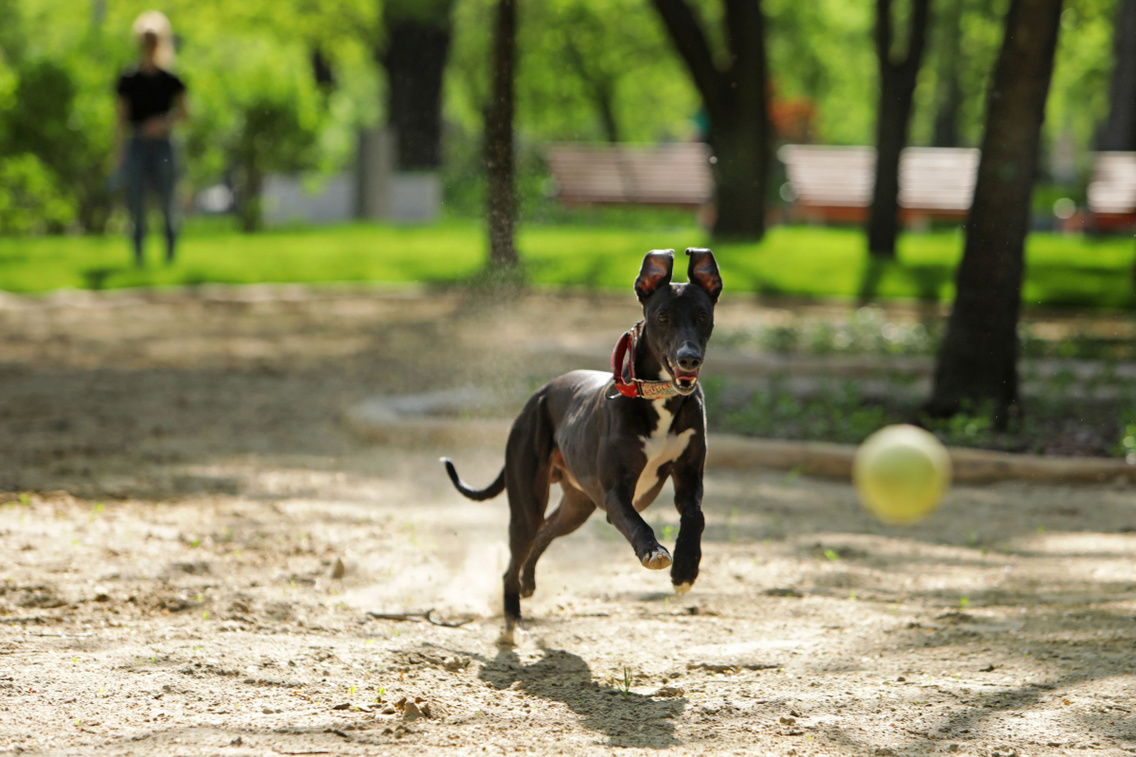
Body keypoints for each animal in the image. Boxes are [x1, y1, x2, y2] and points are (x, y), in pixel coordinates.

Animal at [443, 247, 717, 636]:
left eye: (702, 316)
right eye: (662, 316)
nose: (689, 358)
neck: (659, 396)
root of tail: (538, 395)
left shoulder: (690, 478)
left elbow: (695, 516)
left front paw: (685, 570)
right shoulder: (616, 494)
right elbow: (636, 522)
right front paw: (652, 551)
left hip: (577, 506)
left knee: (543, 534)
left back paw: (528, 584)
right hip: (528, 502)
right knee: (516, 555)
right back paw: (512, 617)